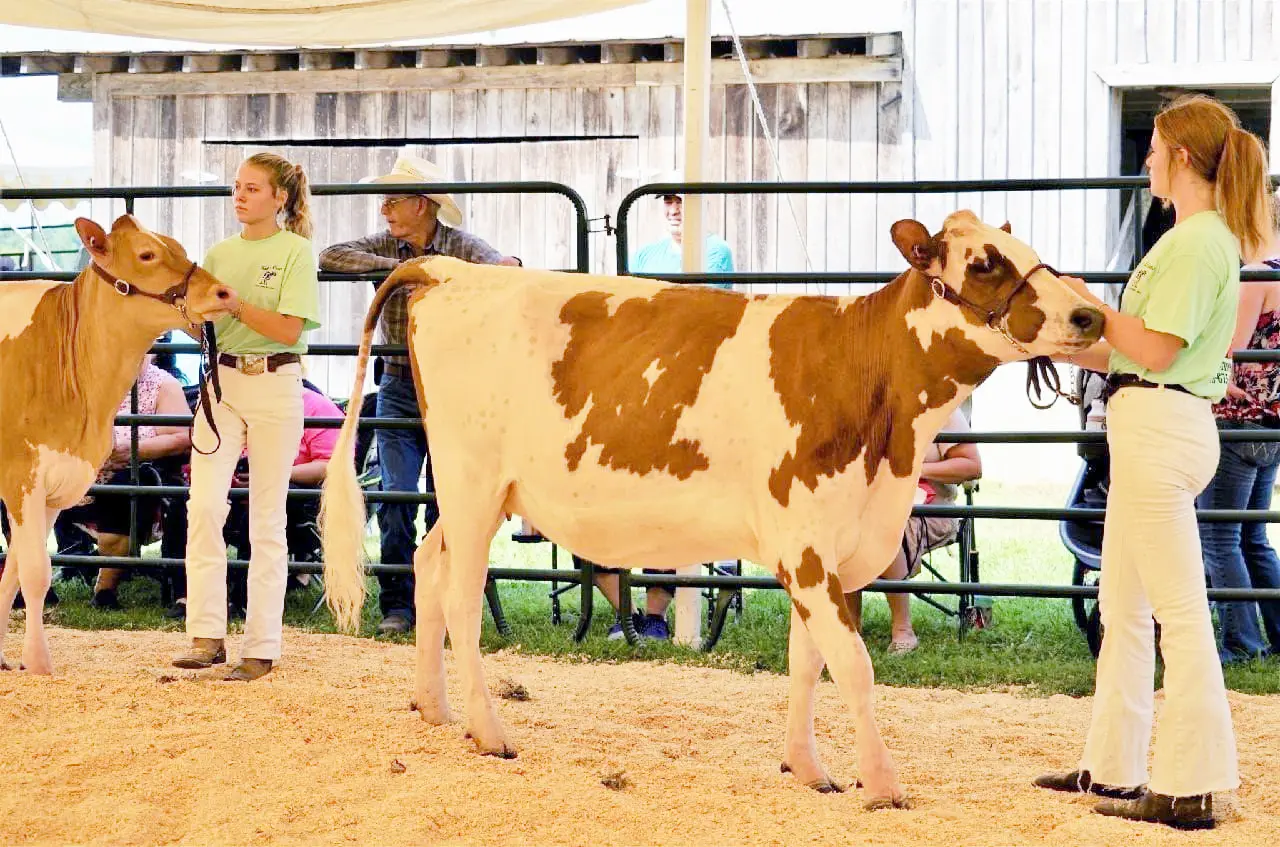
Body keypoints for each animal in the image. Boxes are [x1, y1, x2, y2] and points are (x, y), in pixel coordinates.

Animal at [0, 215, 232, 674]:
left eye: (178, 247)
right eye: (146, 254)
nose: (223, 292)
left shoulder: (54, 486)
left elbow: (14, 572)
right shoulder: (21, 479)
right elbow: (34, 572)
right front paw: (38, 664)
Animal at [320, 210, 1104, 808]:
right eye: (985, 263)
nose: (1090, 313)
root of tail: (450, 272)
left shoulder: (825, 551)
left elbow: (806, 663)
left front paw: (809, 768)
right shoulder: (807, 547)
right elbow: (853, 666)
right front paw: (882, 783)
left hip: (469, 495)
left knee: (427, 564)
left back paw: (436, 708)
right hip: (473, 480)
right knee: (459, 596)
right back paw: (489, 732)